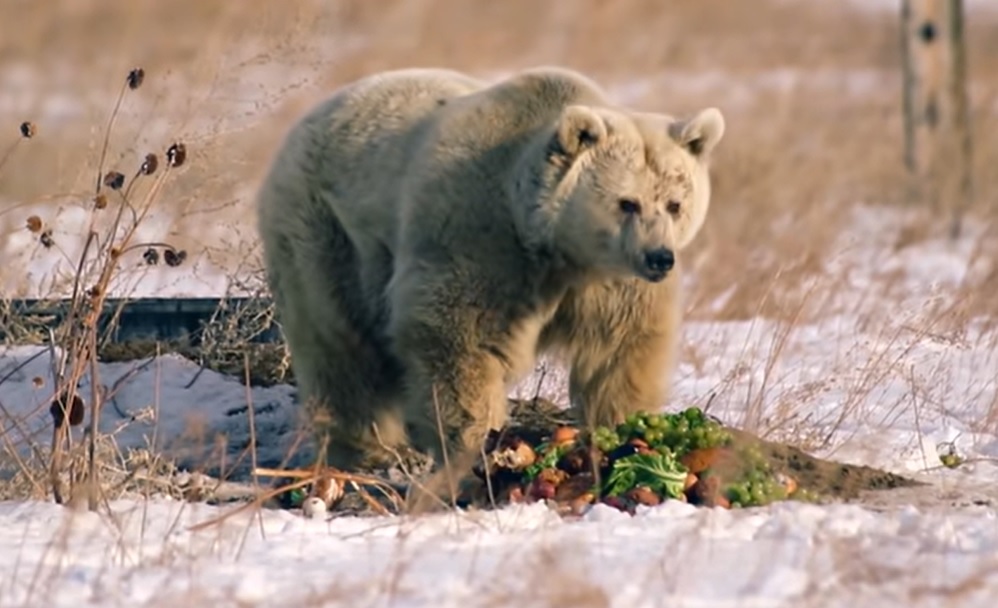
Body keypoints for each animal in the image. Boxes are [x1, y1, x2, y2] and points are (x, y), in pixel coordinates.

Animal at [256, 66, 728, 484]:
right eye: (626, 202)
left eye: (674, 204)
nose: (659, 258)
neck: (555, 247)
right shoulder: (479, 237)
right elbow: (457, 339)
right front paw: (476, 444)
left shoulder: (607, 283)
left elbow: (620, 349)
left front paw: (627, 427)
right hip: (325, 230)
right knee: (339, 345)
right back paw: (367, 448)